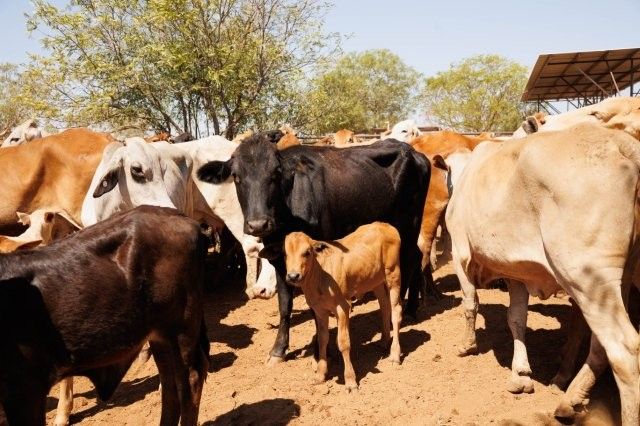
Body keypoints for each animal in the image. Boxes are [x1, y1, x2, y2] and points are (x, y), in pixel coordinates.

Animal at [0, 206, 209, 425]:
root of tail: (185, 219)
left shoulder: (25, 388)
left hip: (181, 328)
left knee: (191, 379)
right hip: (160, 336)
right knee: (170, 383)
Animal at [197, 134, 430, 365]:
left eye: (276, 174)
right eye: (236, 176)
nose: (258, 224)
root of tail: (413, 152)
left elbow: (315, 306)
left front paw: (319, 349)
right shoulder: (280, 261)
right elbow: (284, 305)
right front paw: (278, 349)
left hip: (409, 225)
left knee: (410, 260)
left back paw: (402, 310)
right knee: (416, 256)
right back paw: (410, 308)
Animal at [282, 222, 402, 390]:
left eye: (307, 252)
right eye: (285, 254)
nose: (293, 276)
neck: (320, 276)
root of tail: (385, 225)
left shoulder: (343, 307)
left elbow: (343, 342)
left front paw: (350, 380)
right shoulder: (319, 310)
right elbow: (323, 339)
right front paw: (320, 374)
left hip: (393, 274)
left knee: (396, 310)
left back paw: (395, 354)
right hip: (375, 280)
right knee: (384, 306)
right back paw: (384, 341)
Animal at [445, 124, 640, 425]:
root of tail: (620, 142)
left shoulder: (459, 252)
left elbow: (470, 303)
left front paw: (467, 345)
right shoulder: (515, 270)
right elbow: (516, 318)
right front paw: (521, 375)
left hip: (587, 276)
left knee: (624, 351)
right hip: (619, 276)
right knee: (599, 345)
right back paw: (569, 400)